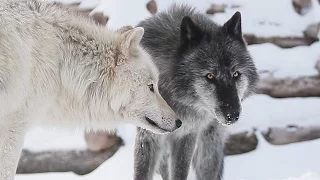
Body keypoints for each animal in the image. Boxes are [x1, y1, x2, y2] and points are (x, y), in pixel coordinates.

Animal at [134, 4, 258, 180]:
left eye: (235, 74)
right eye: (210, 76)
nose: (233, 115)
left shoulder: (187, 135)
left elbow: (180, 172)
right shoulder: (148, 137)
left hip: (208, 149)